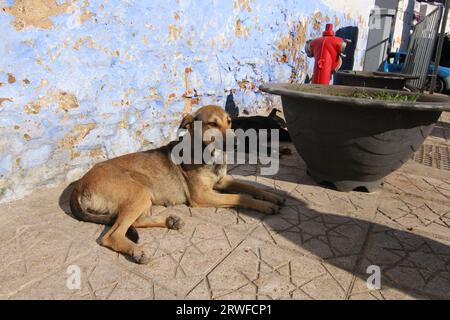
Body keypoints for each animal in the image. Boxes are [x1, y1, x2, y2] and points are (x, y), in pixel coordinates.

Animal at [70, 105, 284, 262]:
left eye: (229, 121)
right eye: (212, 124)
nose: (238, 143)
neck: (208, 154)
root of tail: (79, 184)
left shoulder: (223, 180)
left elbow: (251, 187)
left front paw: (272, 196)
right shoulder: (202, 196)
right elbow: (240, 197)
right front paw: (265, 205)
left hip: (143, 195)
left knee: (135, 221)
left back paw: (170, 221)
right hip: (139, 191)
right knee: (111, 235)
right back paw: (136, 251)